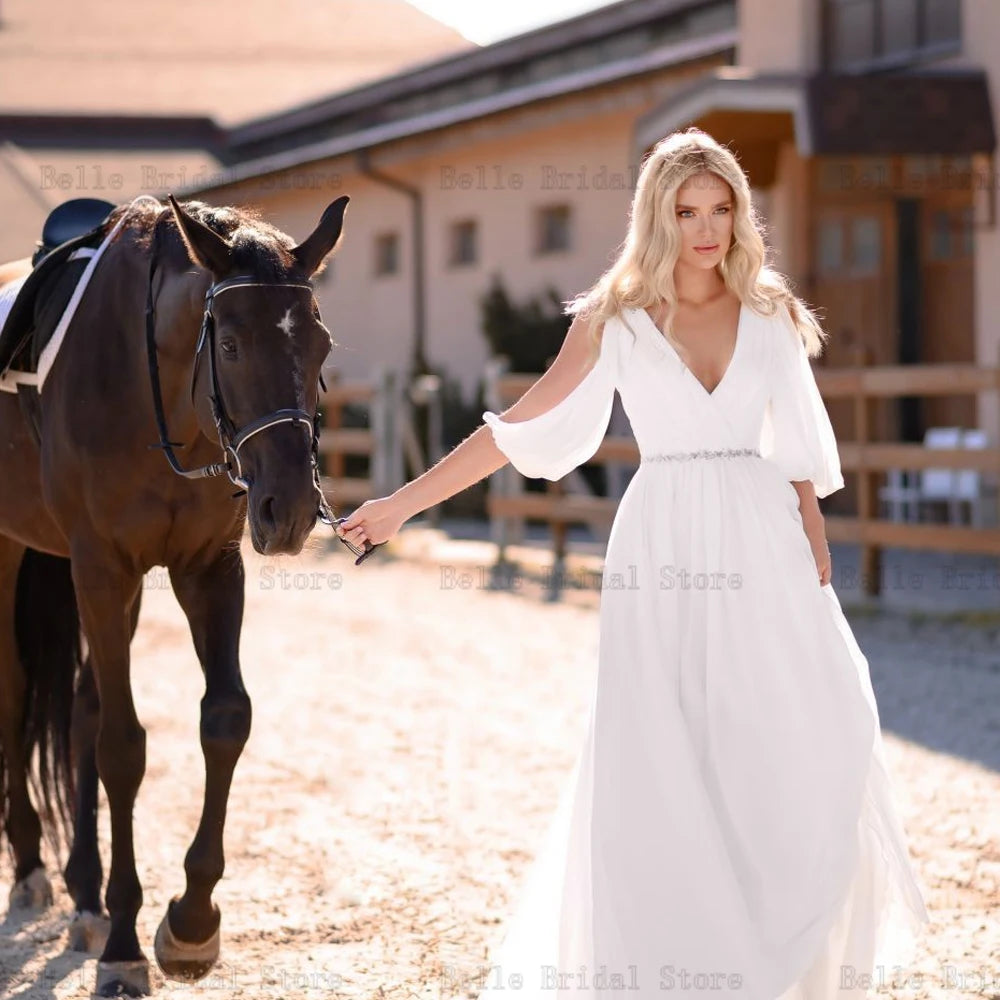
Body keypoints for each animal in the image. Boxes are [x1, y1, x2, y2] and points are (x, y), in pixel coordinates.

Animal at [0, 193, 350, 992]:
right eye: (231, 347)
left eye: (321, 348)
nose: (290, 509)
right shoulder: (102, 567)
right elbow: (124, 748)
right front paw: (125, 945)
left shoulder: (206, 567)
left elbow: (224, 719)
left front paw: (190, 923)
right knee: (16, 688)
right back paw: (32, 864)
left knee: (79, 709)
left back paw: (83, 892)